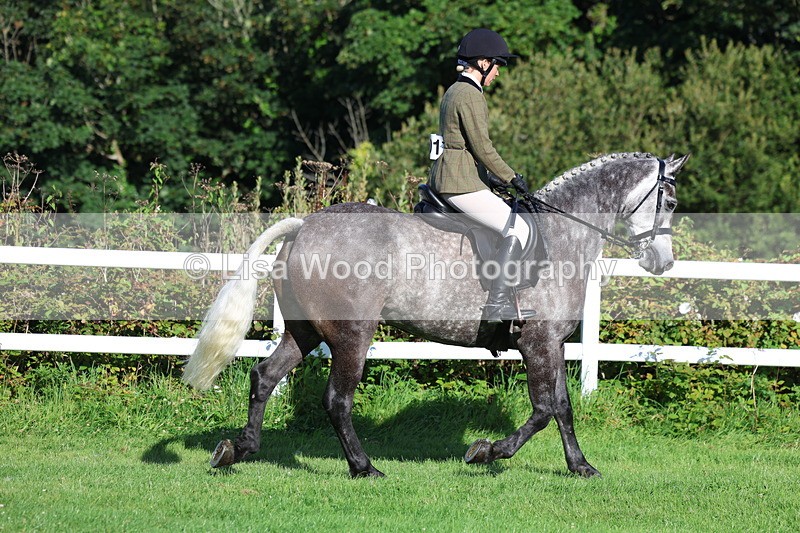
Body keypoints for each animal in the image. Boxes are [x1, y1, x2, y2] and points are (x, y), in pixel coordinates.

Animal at [183, 152, 689, 478]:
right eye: (670, 202)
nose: (663, 262)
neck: (562, 235)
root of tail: (305, 225)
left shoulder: (553, 344)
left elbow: (563, 408)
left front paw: (580, 466)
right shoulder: (537, 342)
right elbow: (544, 409)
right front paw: (487, 452)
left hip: (305, 330)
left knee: (265, 376)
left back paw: (238, 449)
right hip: (351, 335)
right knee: (337, 399)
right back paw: (364, 468)